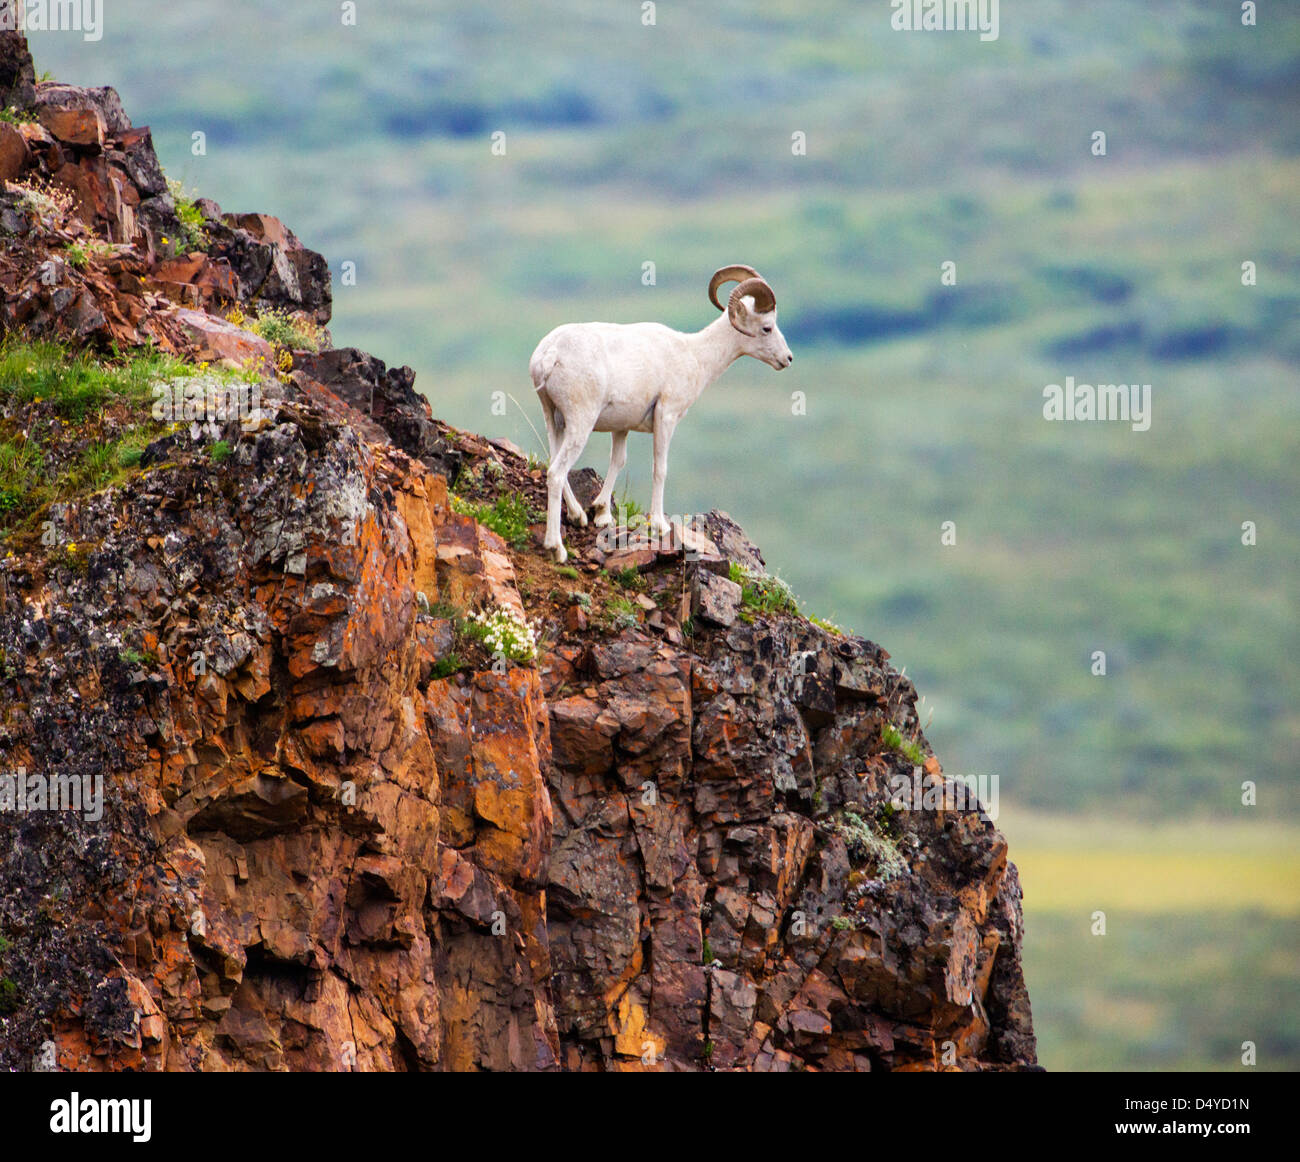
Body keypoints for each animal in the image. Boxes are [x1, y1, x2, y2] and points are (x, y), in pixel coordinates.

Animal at [530, 264, 793, 564]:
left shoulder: (622, 427)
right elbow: (660, 468)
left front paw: (601, 513)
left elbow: (618, 461)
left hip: (554, 418)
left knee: (553, 461)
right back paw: (557, 548)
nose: (787, 358)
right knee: (556, 472)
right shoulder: (666, 417)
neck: (695, 356)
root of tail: (549, 355)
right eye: (767, 327)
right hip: (580, 422)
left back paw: (577, 516)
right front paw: (659, 525)